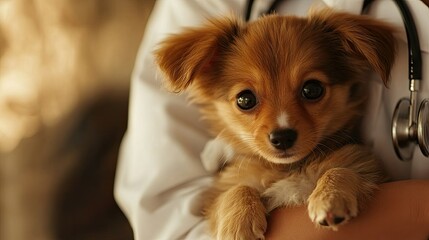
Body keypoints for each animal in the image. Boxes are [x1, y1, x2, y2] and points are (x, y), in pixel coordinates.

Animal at [154, 8, 394, 239]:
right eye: (245, 100)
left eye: (312, 89)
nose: (283, 137)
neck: (288, 170)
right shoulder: (220, 192)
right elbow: (235, 189)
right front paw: (238, 224)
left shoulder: (366, 165)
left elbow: (340, 169)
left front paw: (331, 197)